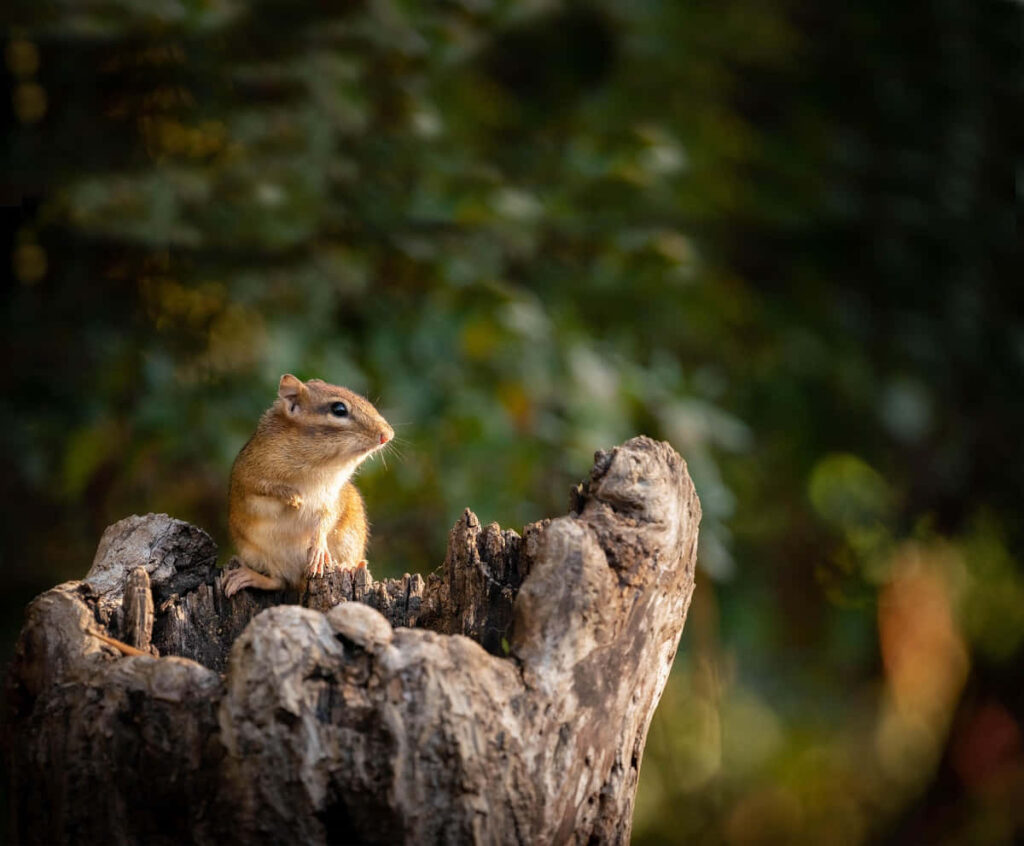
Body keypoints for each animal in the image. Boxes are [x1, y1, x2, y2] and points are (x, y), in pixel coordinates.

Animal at [222, 374, 393, 597]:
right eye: (339, 409)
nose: (388, 435)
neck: (319, 468)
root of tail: (300, 578)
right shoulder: (247, 476)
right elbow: (264, 488)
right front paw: (292, 497)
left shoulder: (331, 498)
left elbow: (326, 521)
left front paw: (318, 548)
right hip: (258, 554)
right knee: (278, 581)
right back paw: (246, 577)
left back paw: (347, 566)